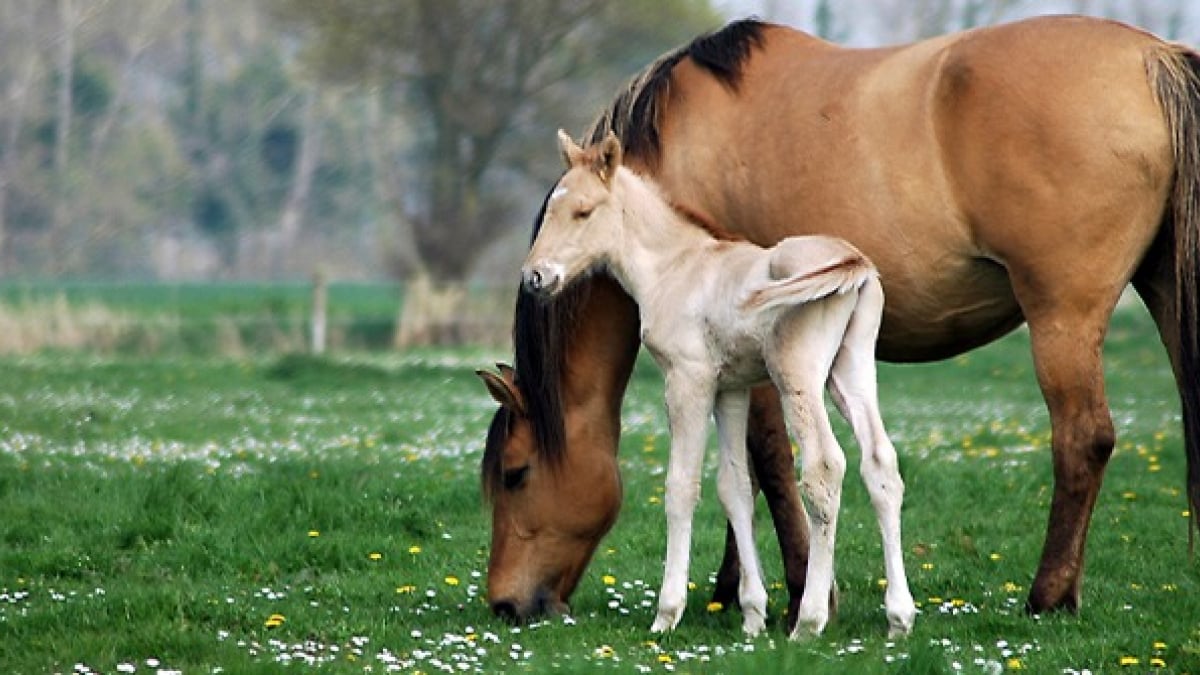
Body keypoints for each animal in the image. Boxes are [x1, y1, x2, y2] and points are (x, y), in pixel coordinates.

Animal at [518, 128, 916, 638]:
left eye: (583, 211)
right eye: (552, 208)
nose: (535, 277)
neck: (675, 267)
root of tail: (854, 261)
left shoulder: (688, 380)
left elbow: (681, 487)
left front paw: (667, 614)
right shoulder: (731, 388)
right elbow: (736, 488)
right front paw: (752, 614)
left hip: (797, 374)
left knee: (824, 469)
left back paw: (809, 621)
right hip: (852, 370)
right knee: (880, 464)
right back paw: (899, 618)